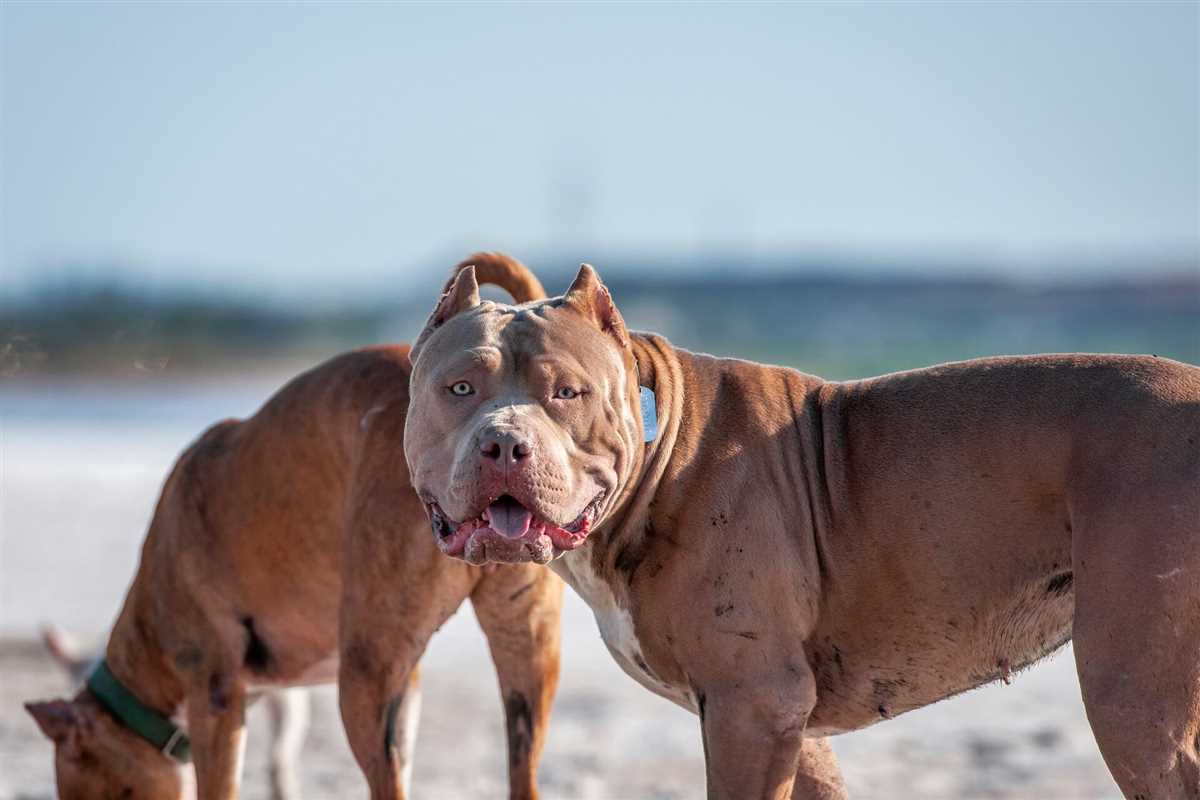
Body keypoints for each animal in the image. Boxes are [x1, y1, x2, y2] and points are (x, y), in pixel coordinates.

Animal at [405, 263, 1200, 800]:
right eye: (459, 389)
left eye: (567, 392)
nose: (504, 444)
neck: (661, 455)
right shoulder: (787, 722)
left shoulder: (751, 706)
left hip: (1133, 694)